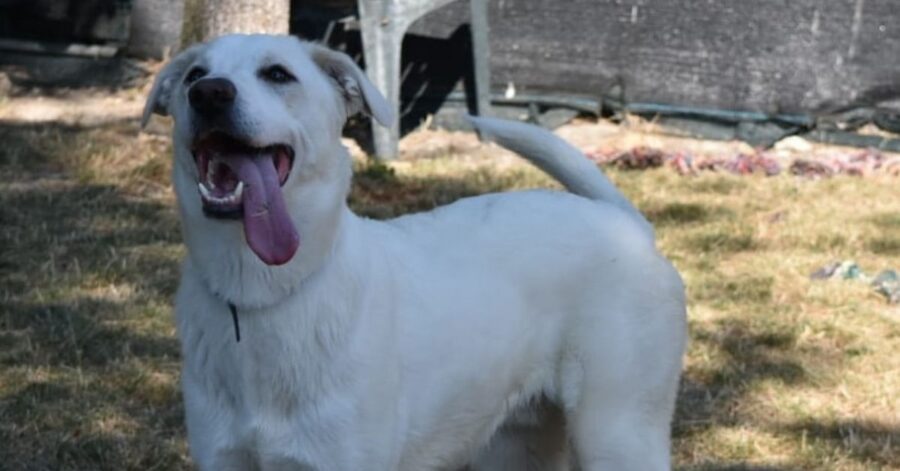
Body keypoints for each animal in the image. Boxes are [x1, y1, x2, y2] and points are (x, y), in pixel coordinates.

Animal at [144, 34, 684, 471]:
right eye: (194, 74)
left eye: (278, 74)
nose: (208, 93)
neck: (260, 294)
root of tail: (627, 223)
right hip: (516, 446)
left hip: (618, 435)